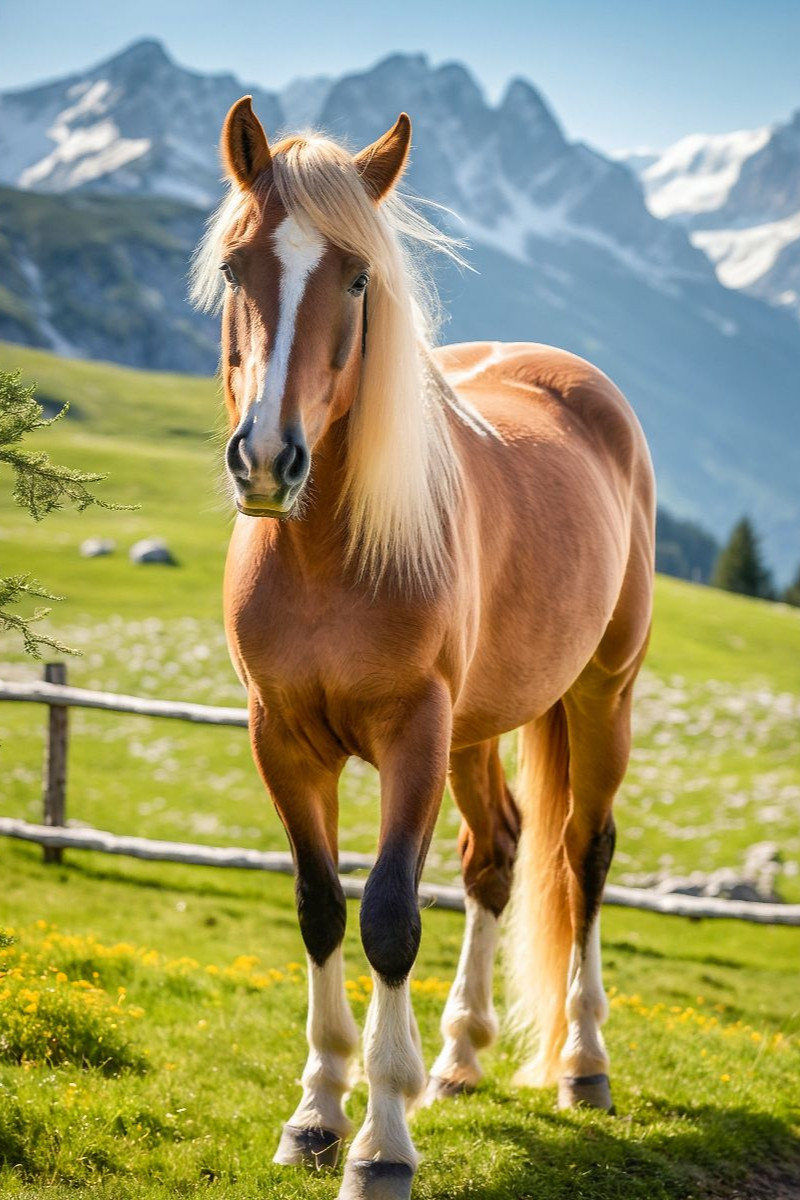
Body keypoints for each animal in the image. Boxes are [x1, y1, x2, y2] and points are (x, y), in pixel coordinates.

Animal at [190, 96, 655, 1200]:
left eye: (358, 278)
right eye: (235, 267)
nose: (266, 459)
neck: (324, 552)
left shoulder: (414, 737)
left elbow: (390, 917)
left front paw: (381, 1144)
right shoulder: (281, 739)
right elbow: (321, 906)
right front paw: (317, 1114)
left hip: (598, 698)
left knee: (581, 857)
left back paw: (581, 1066)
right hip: (481, 729)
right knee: (497, 855)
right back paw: (458, 1057)